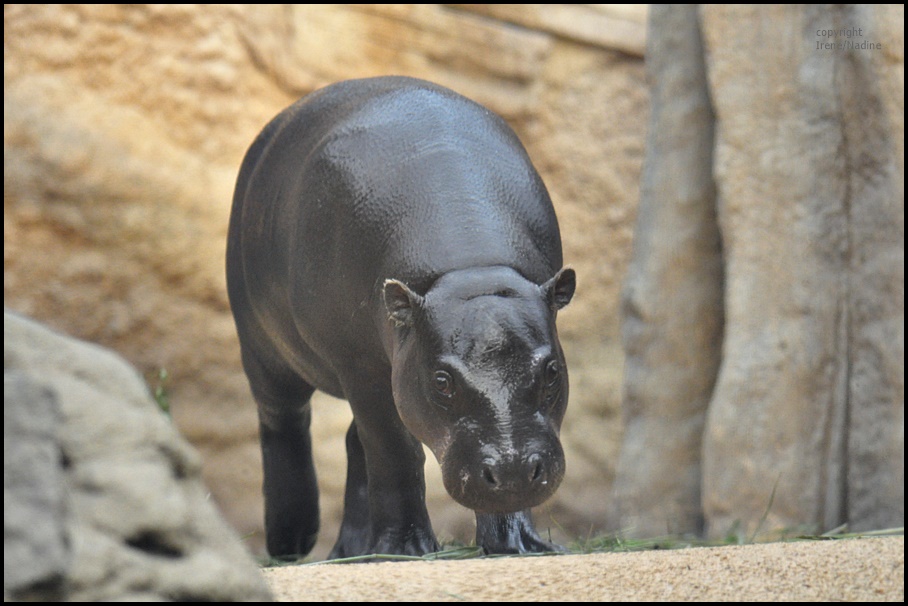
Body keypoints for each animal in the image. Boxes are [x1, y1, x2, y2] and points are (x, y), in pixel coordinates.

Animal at [231, 76, 580, 560]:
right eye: (441, 381)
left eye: (552, 371)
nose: (511, 471)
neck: (471, 269)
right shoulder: (360, 364)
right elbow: (394, 449)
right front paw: (407, 549)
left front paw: (522, 546)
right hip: (264, 346)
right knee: (283, 422)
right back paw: (292, 544)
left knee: (353, 442)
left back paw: (350, 550)